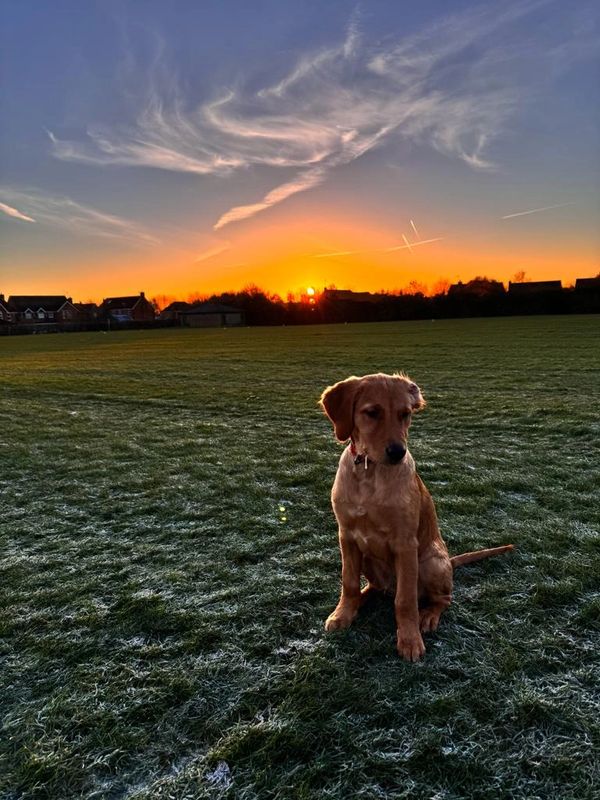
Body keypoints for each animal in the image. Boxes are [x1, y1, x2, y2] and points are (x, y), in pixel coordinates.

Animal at [322, 376, 512, 664]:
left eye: (405, 414)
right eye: (372, 412)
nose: (398, 452)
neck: (370, 472)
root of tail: (450, 561)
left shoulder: (405, 545)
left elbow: (405, 600)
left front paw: (410, 640)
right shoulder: (347, 537)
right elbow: (349, 582)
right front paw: (343, 612)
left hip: (429, 563)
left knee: (442, 598)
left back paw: (429, 617)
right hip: (368, 559)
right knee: (375, 587)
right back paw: (363, 598)